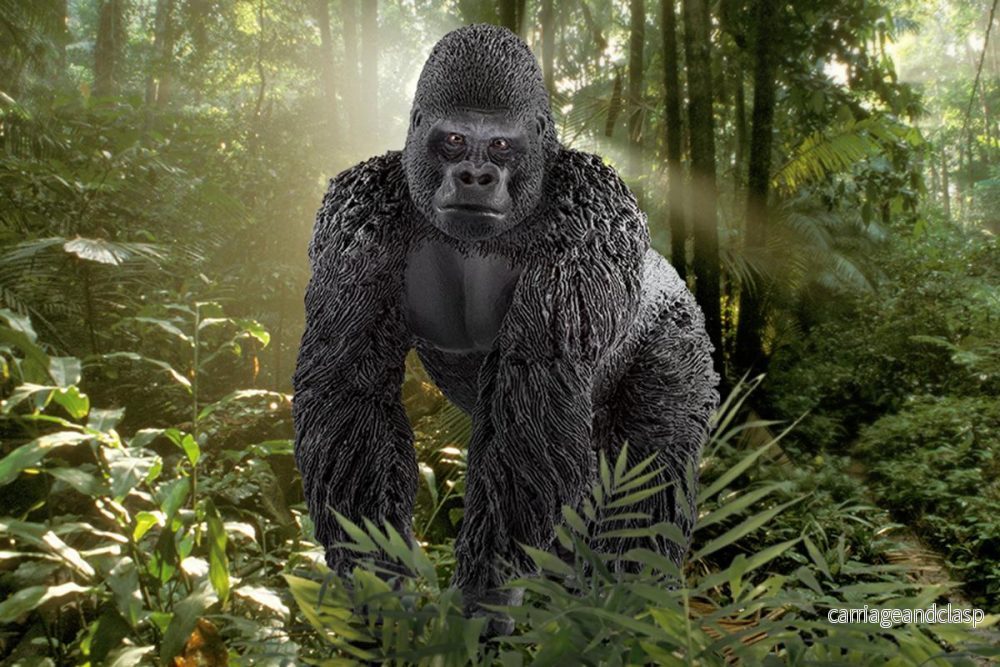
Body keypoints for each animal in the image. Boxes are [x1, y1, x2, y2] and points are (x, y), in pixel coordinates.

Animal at [293, 23, 719, 636]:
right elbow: (349, 387)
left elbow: (537, 384)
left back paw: (627, 612)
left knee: (647, 478)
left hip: (680, 335)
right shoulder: (354, 212)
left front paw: (484, 592)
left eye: (499, 146)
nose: (476, 176)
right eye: (452, 140)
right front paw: (379, 576)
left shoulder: (591, 207)